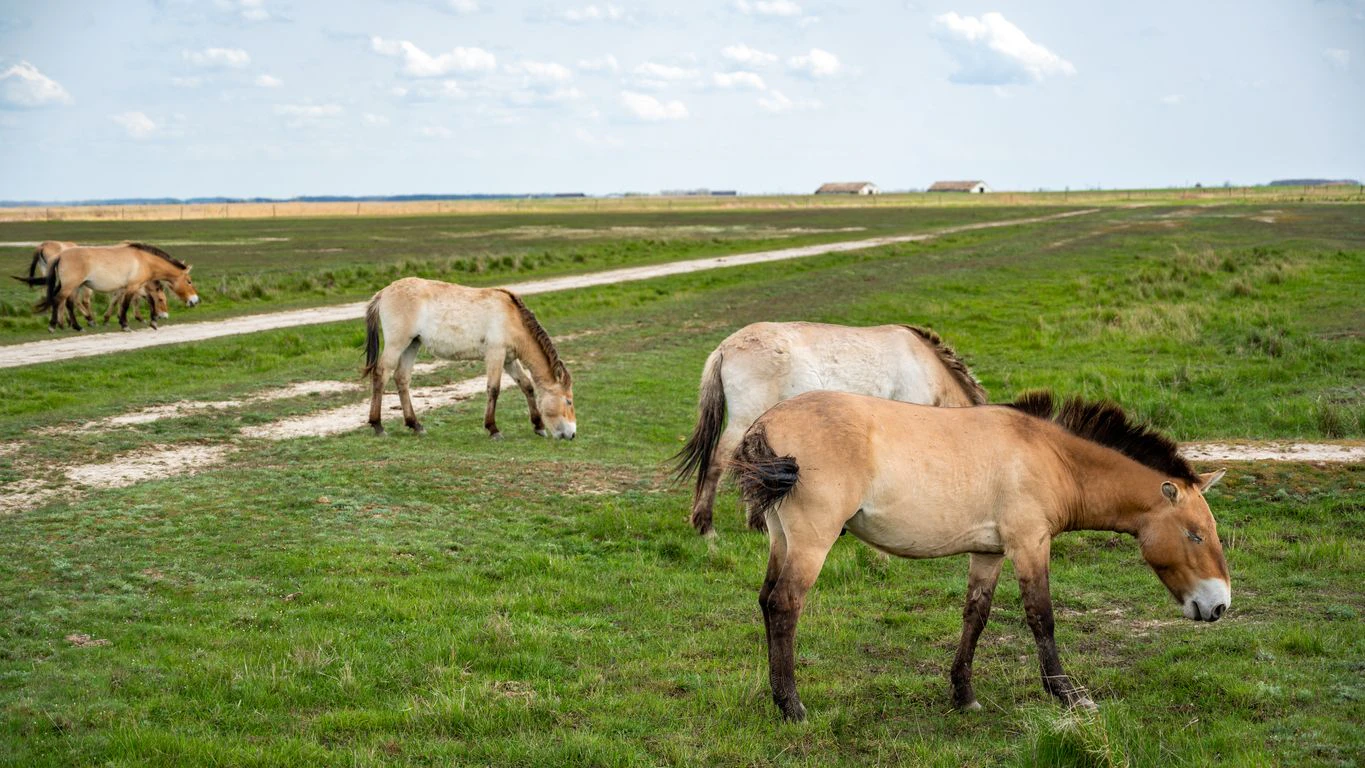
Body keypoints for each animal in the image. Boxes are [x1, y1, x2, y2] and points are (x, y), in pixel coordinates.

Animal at [33, 243, 199, 331]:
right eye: (189, 281)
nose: (195, 300)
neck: (144, 260)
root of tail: (60, 255)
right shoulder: (132, 287)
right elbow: (125, 305)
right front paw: (125, 325)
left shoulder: (137, 287)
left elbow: (149, 301)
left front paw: (153, 322)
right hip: (70, 286)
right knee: (58, 301)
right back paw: (53, 326)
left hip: (75, 287)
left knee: (69, 303)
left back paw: (78, 326)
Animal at [362, 277, 576, 439]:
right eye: (568, 401)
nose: (572, 434)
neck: (513, 317)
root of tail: (384, 292)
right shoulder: (495, 354)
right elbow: (493, 389)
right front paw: (493, 429)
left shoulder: (509, 359)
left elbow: (526, 385)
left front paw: (539, 426)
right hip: (397, 343)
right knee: (381, 373)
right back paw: (378, 426)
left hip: (412, 344)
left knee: (402, 378)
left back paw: (415, 425)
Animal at [674, 322, 986, 536]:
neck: (922, 364)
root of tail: (725, 347)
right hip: (743, 419)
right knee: (719, 461)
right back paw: (705, 526)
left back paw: (757, 525)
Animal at [731, 390, 1229, 721]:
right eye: (1195, 535)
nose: (1219, 605)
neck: (1051, 457)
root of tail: (765, 423)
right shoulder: (1030, 544)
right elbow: (1042, 617)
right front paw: (1067, 694)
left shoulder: (988, 554)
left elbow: (976, 616)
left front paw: (963, 694)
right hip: (812, 542)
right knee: (785, 605)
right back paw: (792, 706)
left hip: (782, 539)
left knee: (766, 600)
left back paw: (777, 697)